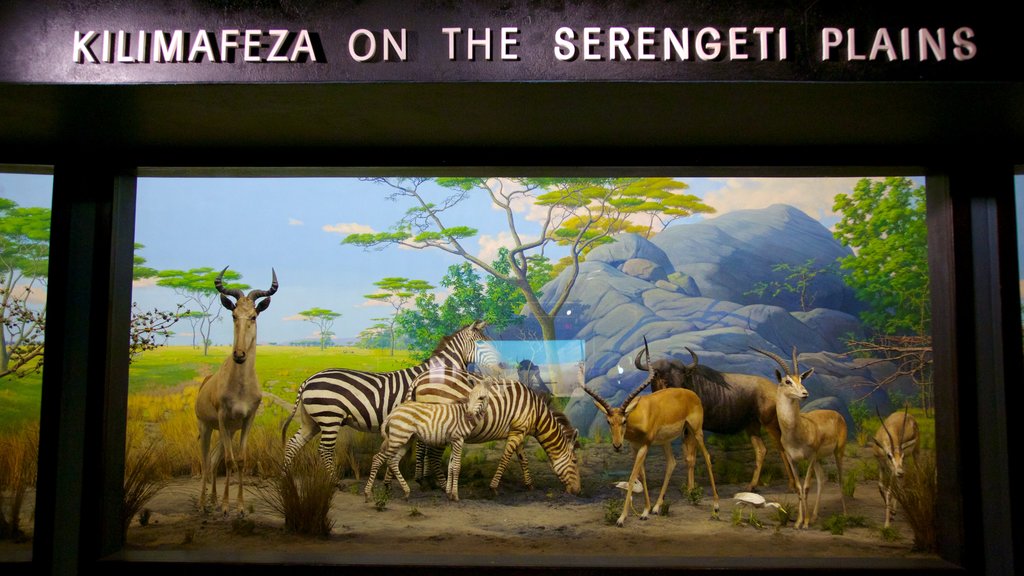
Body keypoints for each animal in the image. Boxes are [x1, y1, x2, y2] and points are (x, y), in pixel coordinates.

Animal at [193, 264, 276, 510]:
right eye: (233, 314)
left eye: (254, 316)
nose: (239, 355)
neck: (240, 387)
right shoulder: (222, 418)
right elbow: (229, 462)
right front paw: (226, 506)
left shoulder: (247, 420)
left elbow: (239, 460)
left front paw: (239, 507)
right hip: (207, 427)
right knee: (205, 460)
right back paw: (203, 503)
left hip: (226, 432)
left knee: (213, 459)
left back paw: (212, 499)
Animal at [278, 317, 489, 475]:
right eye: (484, 344)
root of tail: (308, 380)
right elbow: (423, 449)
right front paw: (421, 478)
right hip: (330, 417)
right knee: (324, 450)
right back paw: (332, 480)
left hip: (312, 420)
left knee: (293, 444)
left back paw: (286, 479)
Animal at [409, 366, 585, 494]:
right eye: (575, 462)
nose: (578, 491)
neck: (536, 413)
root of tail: (419, 378)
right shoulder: (516, 432)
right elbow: (505, 458)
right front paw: (493, 487)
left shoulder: (519, 430)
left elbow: (523, 458)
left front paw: (529, 485)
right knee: (432, 454)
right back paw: (442, 485)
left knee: (423, 449)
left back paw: (426, 481)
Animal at [585, 381, 720, 524]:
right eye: (608, 421)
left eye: (624, 421)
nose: (617, 446)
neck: (642, 415)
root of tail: (693, 394)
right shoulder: (635, 447)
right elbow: (642, 475)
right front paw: (646, 511)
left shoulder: (645, 446)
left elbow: (632, 477)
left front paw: (621, 518)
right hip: (671, 439)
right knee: (675, 462)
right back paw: (661, 505)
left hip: (697, 431)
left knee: (707, 457)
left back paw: (716, 506)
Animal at [749, 342, 843, 528]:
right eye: (787, 381)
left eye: (801, 379)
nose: (805, 393)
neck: (797, 432)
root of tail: (836, 413)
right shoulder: (793, 459)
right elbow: (799, 488)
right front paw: (799, 522)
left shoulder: (810, 457)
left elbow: (806, 487)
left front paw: (804, 524)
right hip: (818, 460)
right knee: (822, 479)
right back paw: (814, 517)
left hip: (837, 452)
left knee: (841, 480)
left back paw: (844, 514)